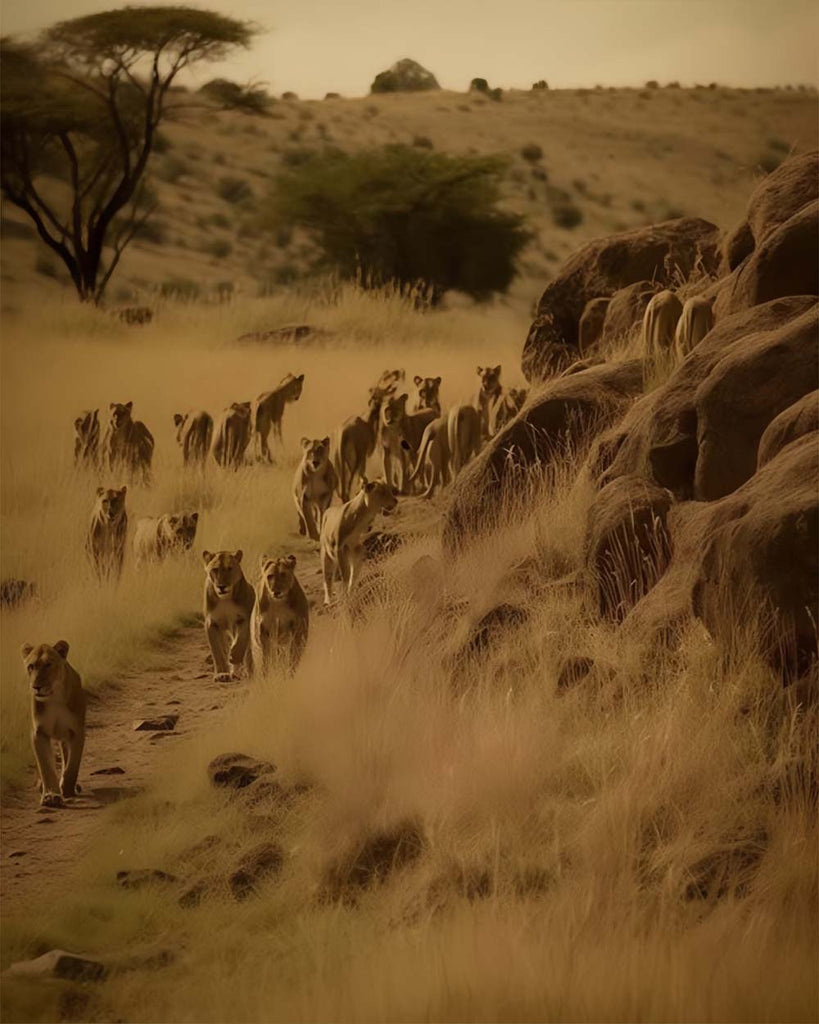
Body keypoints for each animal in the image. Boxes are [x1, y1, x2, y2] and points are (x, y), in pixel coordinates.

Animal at [21, 638, 85, 806]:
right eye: (31, 666)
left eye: (48, 664)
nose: (36, 687)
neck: (54, 696)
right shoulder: (38, 733)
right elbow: (46, 767)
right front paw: (51, 795)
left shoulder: (77, 732)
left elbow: (72, 766)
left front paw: (67, 789)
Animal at [200, 548, 252, 684]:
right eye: (215, 569)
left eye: (229, 568)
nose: (221, 586)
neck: (225, 599)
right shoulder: (212, 623)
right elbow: (217, 652)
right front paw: (222, 674)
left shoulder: (244, 618)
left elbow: (241, 641)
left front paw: (234, 657)